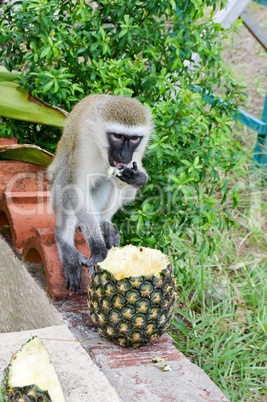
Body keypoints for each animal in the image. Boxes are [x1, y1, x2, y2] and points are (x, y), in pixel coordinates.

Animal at [48, 96, 153, 294]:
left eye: (134, 138)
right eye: (117, 136)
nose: (124, 154)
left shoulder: (136, 154)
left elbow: (128, 180)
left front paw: (139, 178)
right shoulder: (84, 139)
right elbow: (76, 187)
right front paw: (97, 247)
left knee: (113, 182)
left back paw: (104, 223)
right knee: (66, 178)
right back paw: (64, 242)